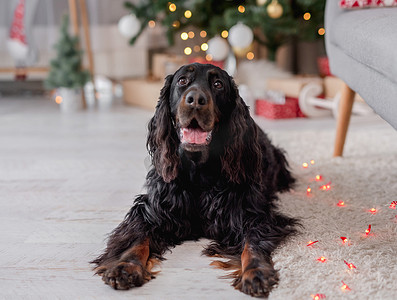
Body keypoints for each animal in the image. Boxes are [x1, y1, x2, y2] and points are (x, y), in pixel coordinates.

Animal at [92, 63, 296, 298]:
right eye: (182, 81)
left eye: (218, 84)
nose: (196, 99)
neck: (199, 170)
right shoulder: (153, 211)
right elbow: (137, 238)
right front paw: (125, 267)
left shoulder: (252, 214)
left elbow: (252, 244)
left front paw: (256, 272)